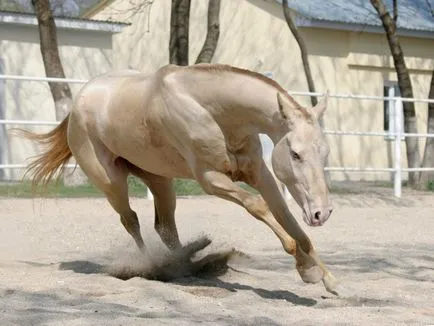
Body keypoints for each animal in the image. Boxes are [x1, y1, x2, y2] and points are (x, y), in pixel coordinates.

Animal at [20, 63, 340, 296]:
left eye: (325, 151)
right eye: (296, 154)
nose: (321, 213)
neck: (212, 111)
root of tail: (77, 105)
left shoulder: (260, 175)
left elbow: (290, 221)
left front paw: (323, 277)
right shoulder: (211, 180)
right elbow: (258, 207)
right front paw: (304, 265)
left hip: (161, 181)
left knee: (165, 229)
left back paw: (186, 262)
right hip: (111, 184)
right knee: (131, 221)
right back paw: (154, 267)